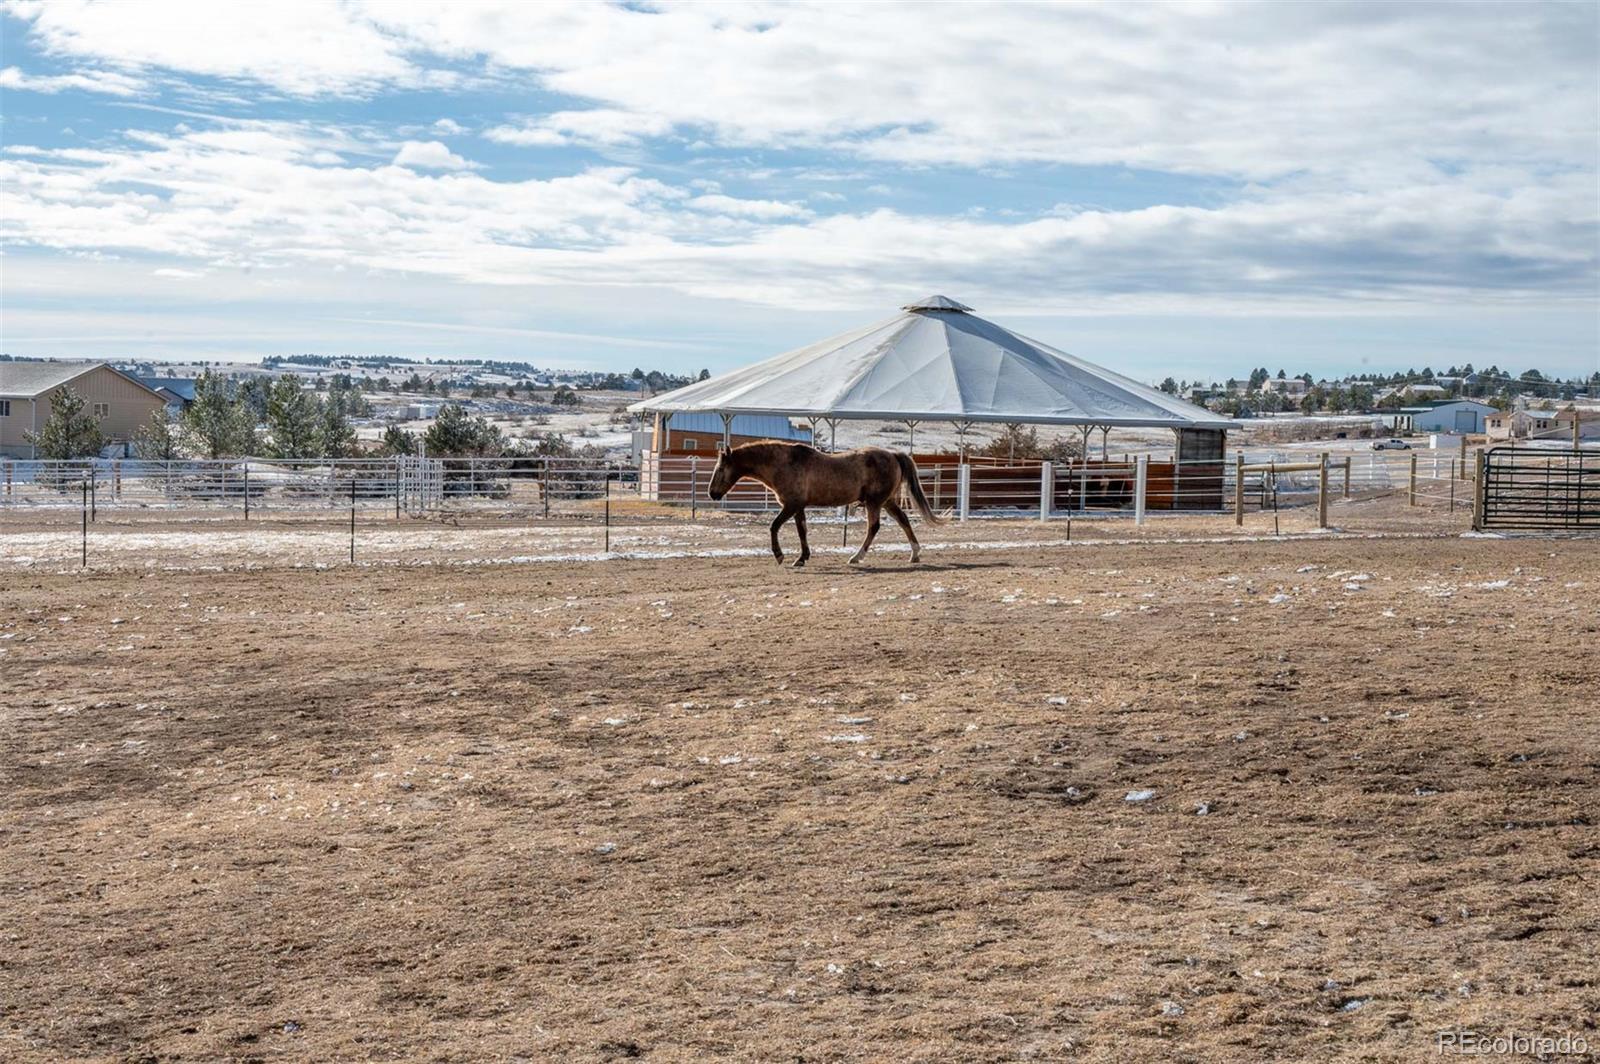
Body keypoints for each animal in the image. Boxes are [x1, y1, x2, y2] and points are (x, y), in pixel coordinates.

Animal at [710, 441, 934, 569]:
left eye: (720, 469)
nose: (712, 493)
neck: (784, 463)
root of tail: (893, 455)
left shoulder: (791, 505)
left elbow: (774, 527)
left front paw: (780, 555)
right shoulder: (799, 507)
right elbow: (802, 531)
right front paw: (802, 558)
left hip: (874, 502)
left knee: (874, 527)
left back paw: (856, 557)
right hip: (886, 501)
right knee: (903, 520)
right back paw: (914, 554)